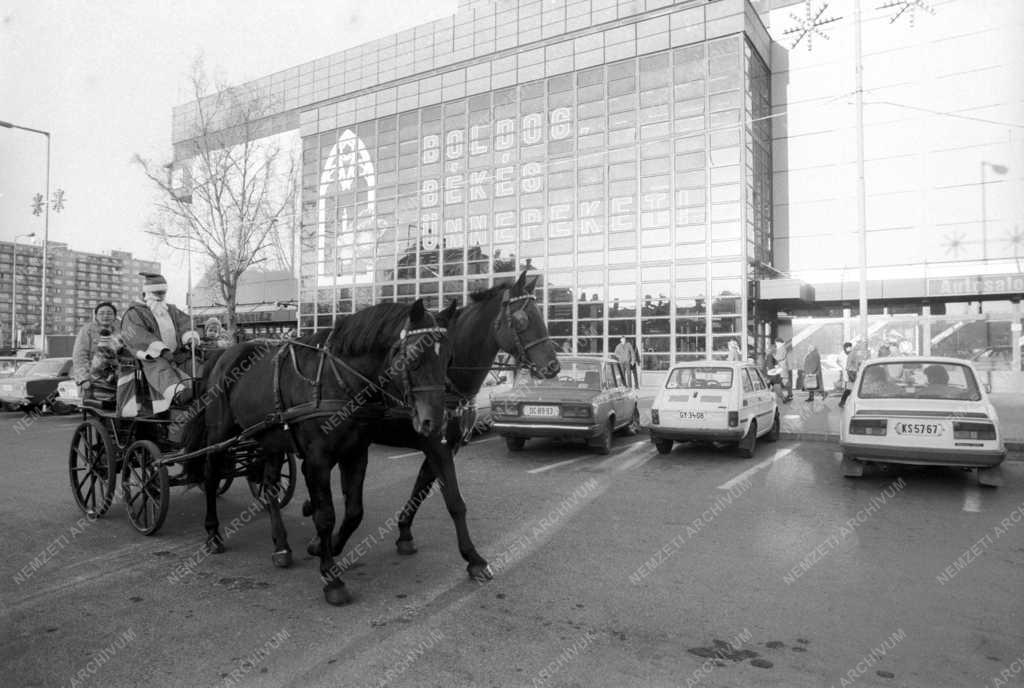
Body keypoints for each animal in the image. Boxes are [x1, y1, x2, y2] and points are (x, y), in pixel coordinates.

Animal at [183, 298, 448, 606]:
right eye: (415, 356)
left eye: (445, 356)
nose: (435, 421)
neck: (339, 380)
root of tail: (223, 354)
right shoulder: (317, 460)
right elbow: (326, 515)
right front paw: (331, 576)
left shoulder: (355, 454)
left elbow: (354, 512)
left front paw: (327, 546)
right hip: (219, 434)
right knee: (212, 475)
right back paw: (213, 534)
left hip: (271, 439)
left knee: (269, 486)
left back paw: (281, 546)